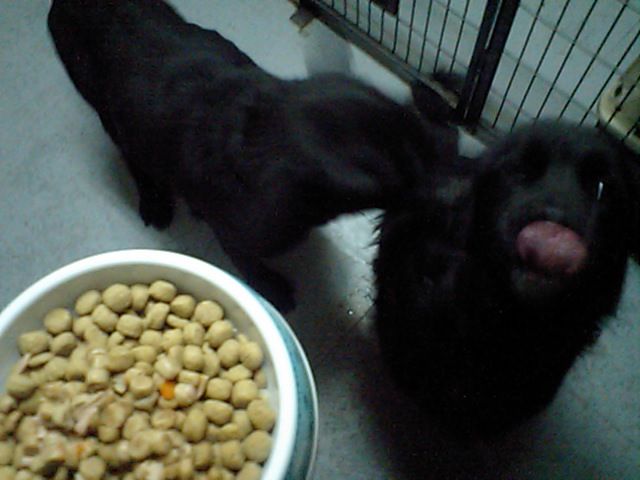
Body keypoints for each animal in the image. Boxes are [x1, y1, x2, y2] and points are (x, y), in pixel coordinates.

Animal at [47, 0, 454, 312]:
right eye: (410, 176)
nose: (456, 186)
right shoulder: (236, 233)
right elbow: (244, 259)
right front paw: (272, 288)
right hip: (102, 103)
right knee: (131, 154)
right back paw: (155, 201)